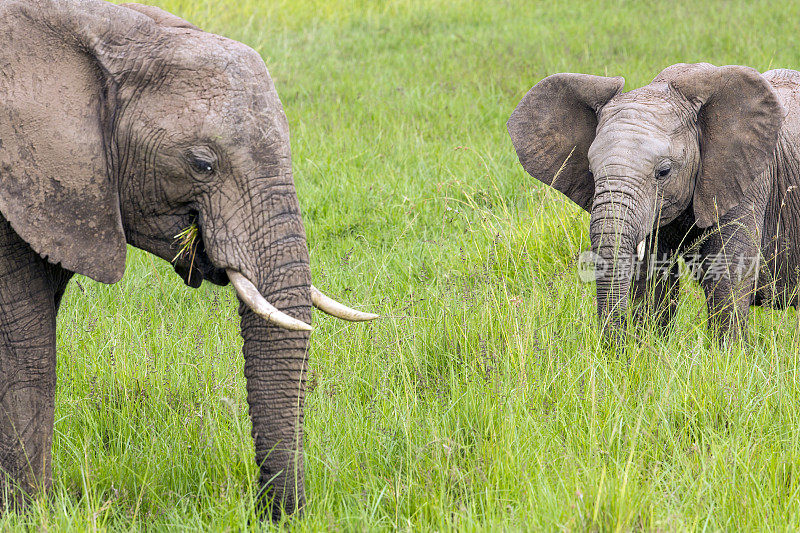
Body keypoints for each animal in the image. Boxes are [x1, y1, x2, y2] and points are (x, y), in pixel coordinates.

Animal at [506, 64, 800, 342]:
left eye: (664, 172)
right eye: (590, 171)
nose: (614, 348)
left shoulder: (747, 178)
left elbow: (728, 271)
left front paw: (727, 354)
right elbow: (651, 277)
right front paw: (648, 348)